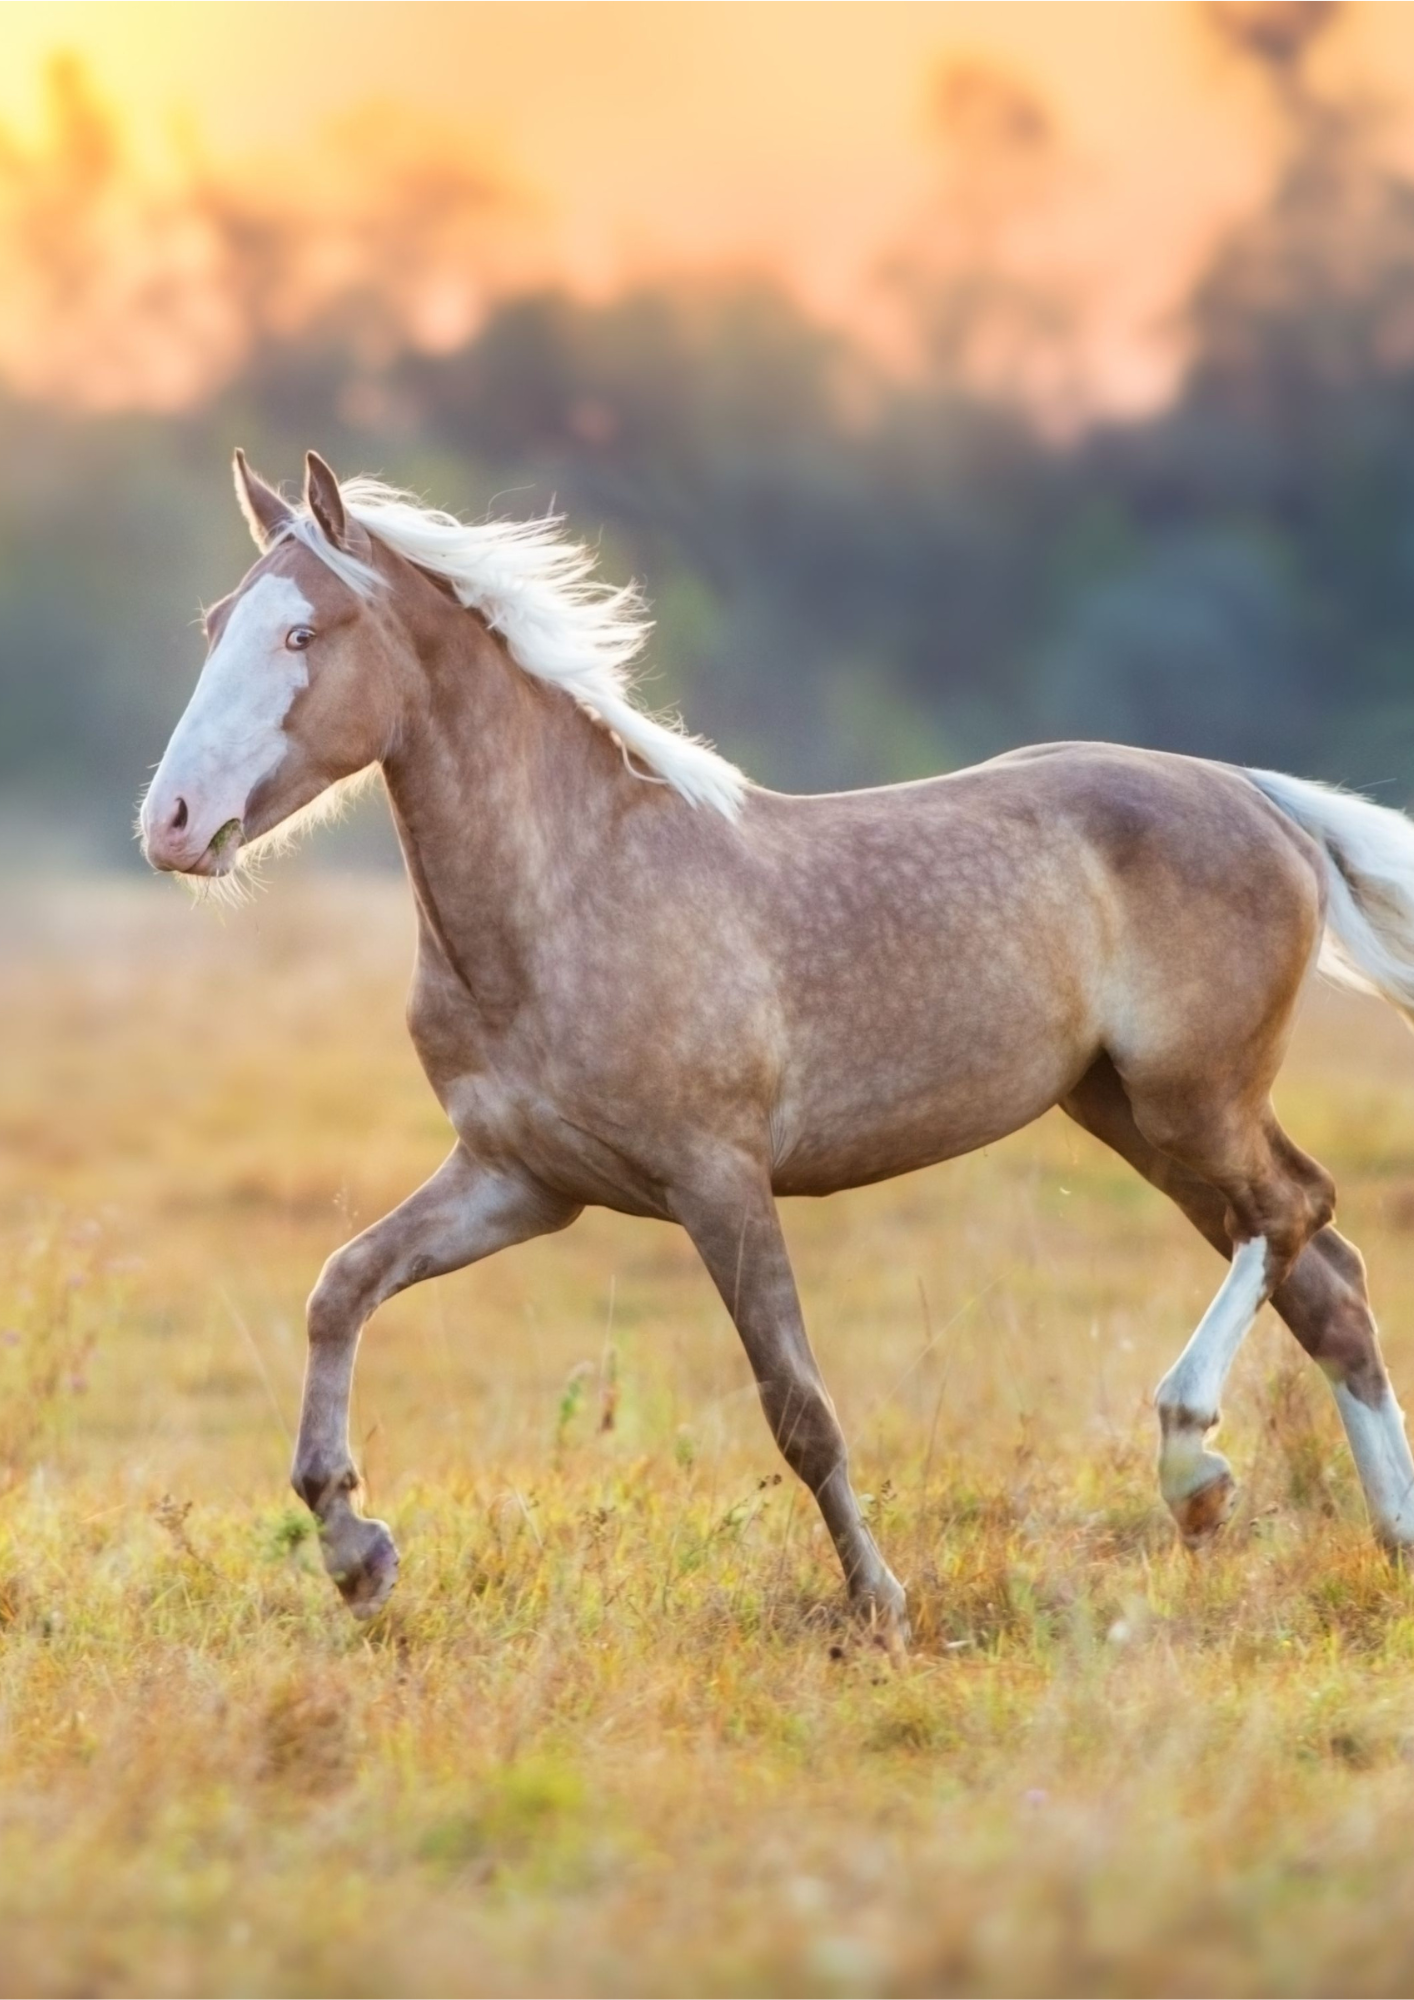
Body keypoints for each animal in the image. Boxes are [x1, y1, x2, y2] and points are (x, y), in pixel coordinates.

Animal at [140, 448, 1414, 1642]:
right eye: (211, 625)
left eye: (304, 630)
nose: (173, 823)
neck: (570, 891)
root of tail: (1257, 796)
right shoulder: (520, 1182)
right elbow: (341, 1286)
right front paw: (355, 1549)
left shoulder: (717, 1179)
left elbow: (797, 1404)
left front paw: (880, 1603)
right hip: (1129, 1113)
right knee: (1327, 1283)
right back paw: (1389, 1539)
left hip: (1191, 1098)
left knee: (1294, 1211)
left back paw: (1192, 1462)